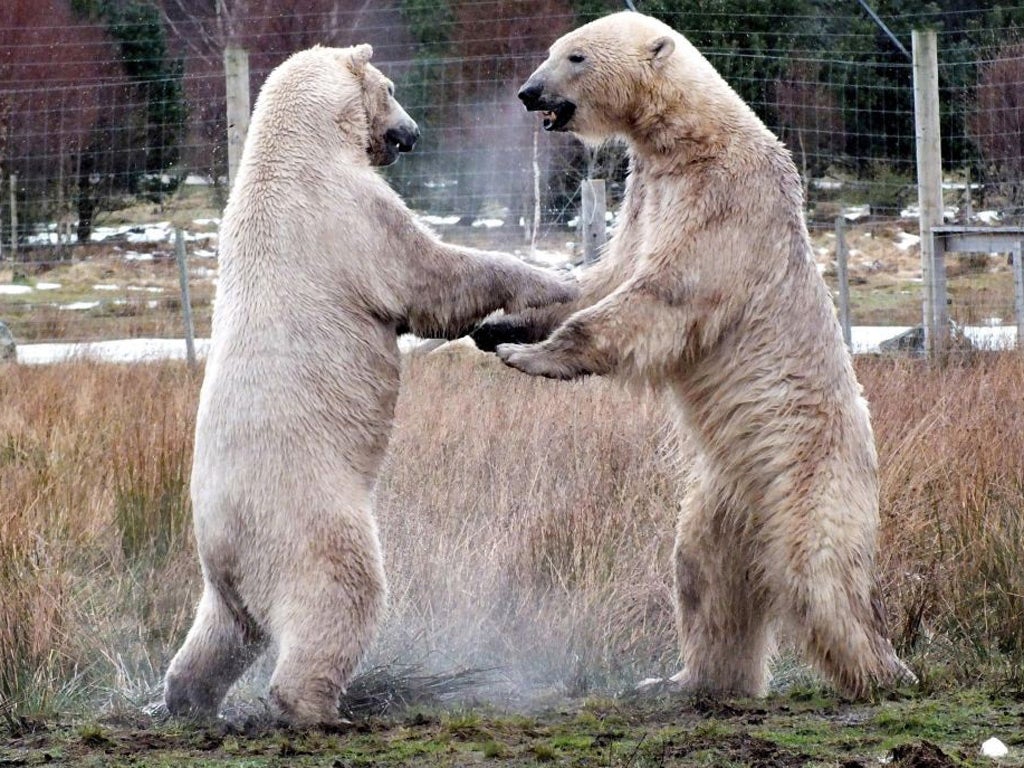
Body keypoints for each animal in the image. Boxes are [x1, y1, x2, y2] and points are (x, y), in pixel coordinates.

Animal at [161, 43, 577, 729]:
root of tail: (223, 535)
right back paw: (317, 707)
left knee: (223, 631)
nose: (413, 133)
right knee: (339, 591)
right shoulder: (349, 213)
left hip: (225, 573)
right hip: (307, 514)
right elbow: (429, 276)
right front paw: (552, 280)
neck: (293, 148)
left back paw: (185, 701)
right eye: (391, 88)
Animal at [475, 10, 917, 696]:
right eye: (554, 50)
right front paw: (499, 327)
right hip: (721, 493)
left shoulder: (723, 196)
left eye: (574, 56)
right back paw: (689, 680)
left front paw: (535, 357)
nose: (528, 93)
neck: (688, 137)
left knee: (819, 575)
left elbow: (664, 292)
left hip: (810, 472)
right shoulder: (646, 191)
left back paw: (883, 671)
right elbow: (604, 277)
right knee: (704, 571)